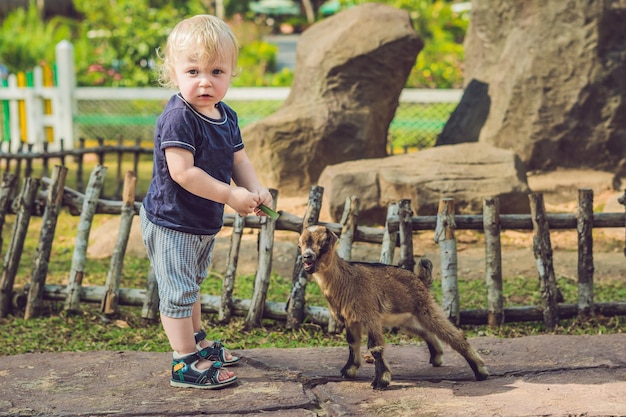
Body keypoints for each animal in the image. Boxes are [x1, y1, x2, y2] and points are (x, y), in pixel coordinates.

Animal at [298, 224, 488, 390]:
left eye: (325, 242)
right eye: (300, 244)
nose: (307, 257)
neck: (345, 280)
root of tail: (421, 279)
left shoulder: (370, 315)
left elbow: (375, 346)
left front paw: (381, 381)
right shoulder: (350, 319)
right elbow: (352, 342)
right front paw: (349, 371)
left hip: (425, 308)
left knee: (453, 334)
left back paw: (481, 371)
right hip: (406, 319)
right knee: (425, 331)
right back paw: (437, 358)